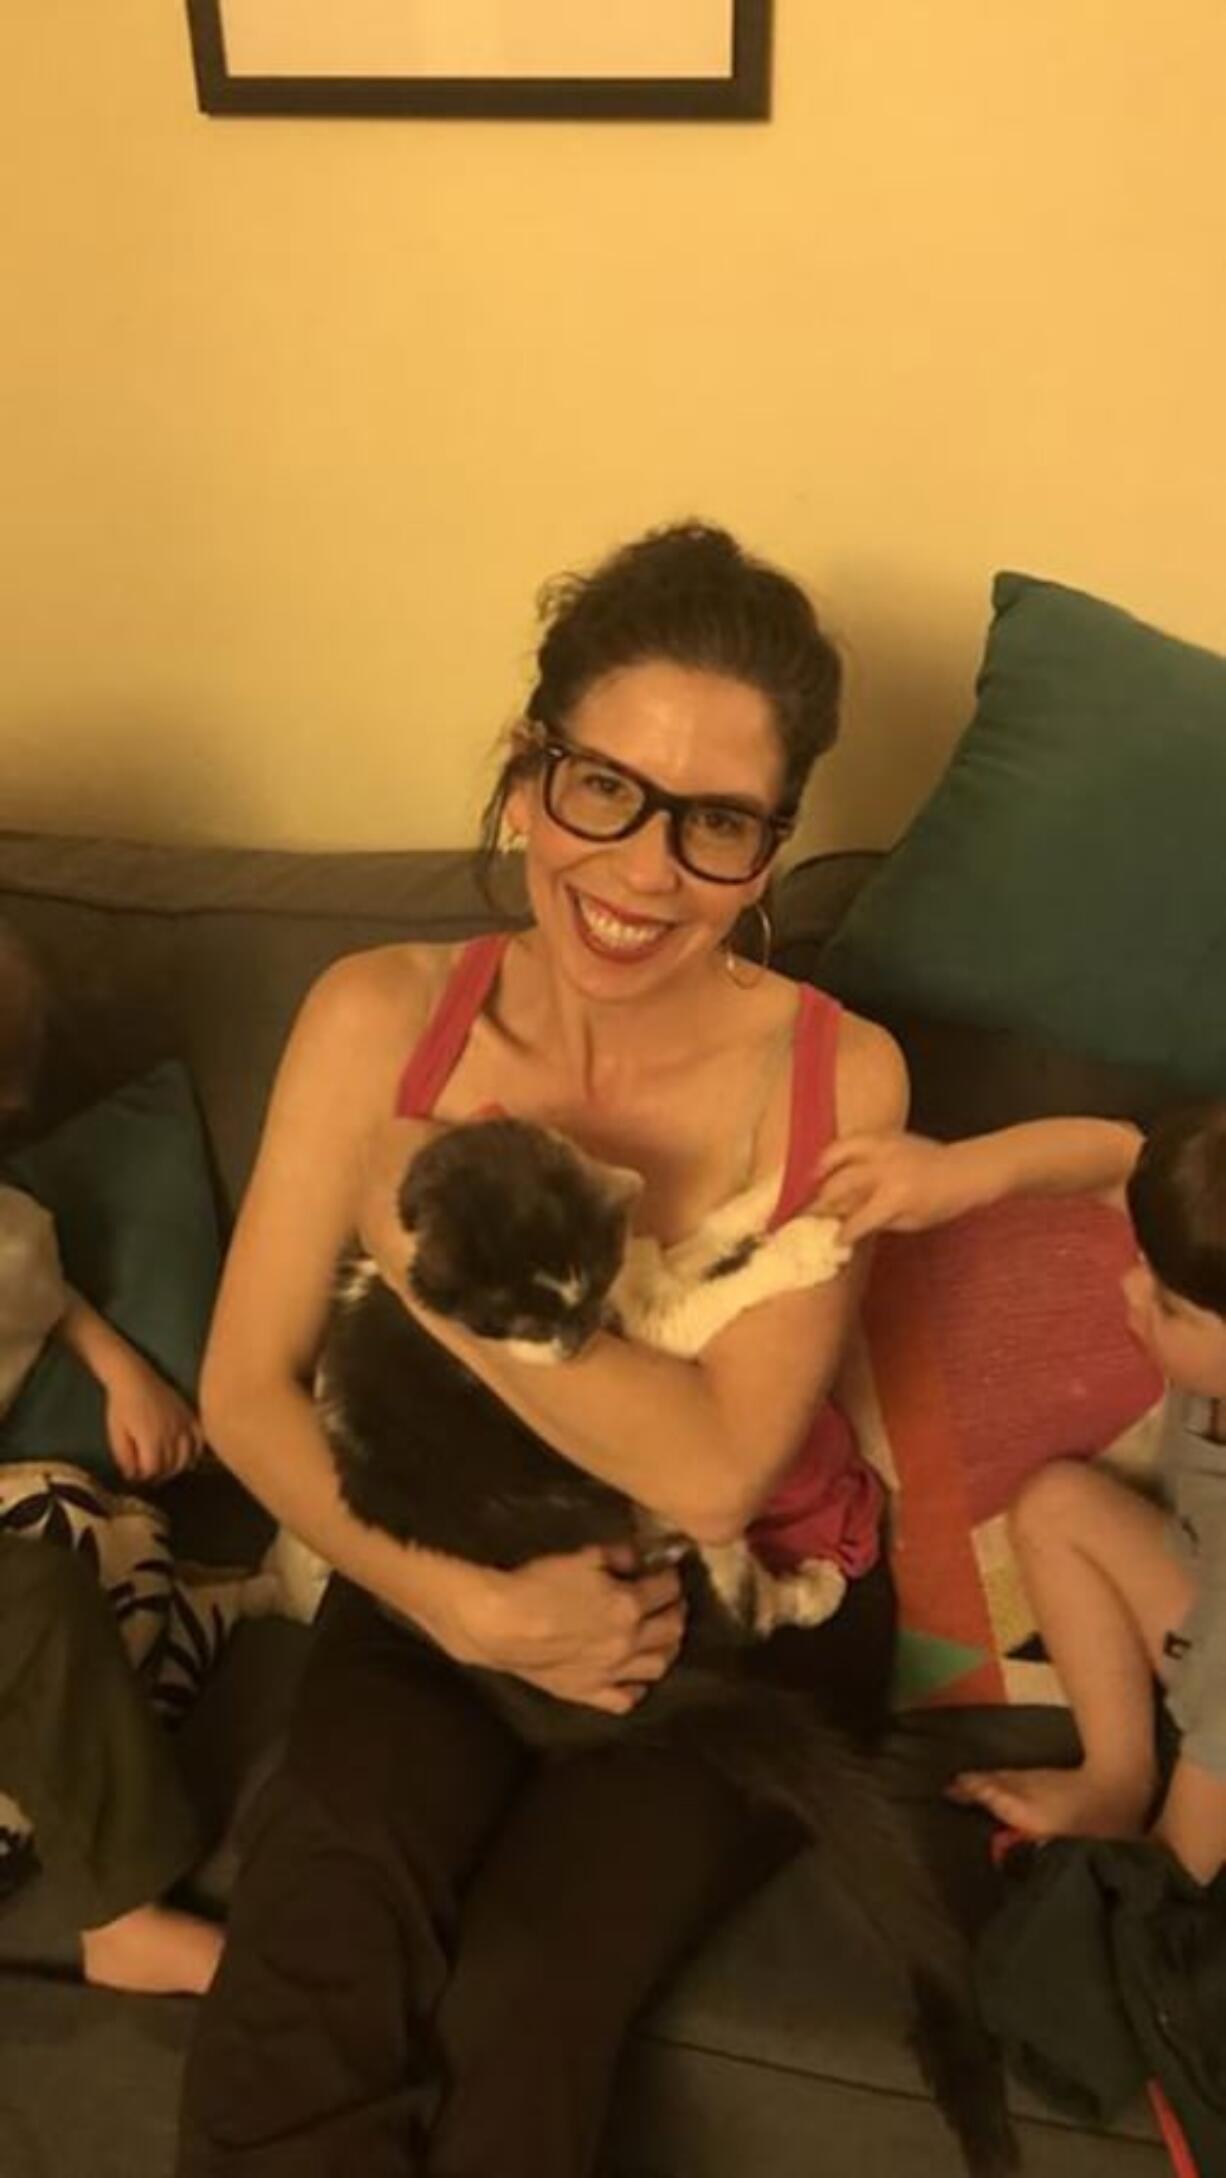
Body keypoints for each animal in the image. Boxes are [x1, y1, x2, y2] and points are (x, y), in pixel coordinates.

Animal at [287, 1123, 1019, 2178]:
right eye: (514, 1320)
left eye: (577, 1289)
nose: (576, 1347)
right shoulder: (647, 1341)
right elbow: (703, 1297)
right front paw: (799, 1248)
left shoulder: (630, 1276)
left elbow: (697, 1238)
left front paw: (772, 1191)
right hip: (629, 1519)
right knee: (735, 1603)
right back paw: (805, 1585)